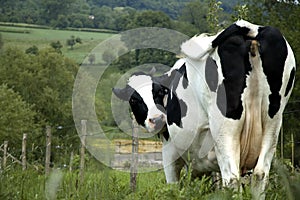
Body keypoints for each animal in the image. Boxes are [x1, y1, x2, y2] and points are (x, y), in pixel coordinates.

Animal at [113, 19, 296, 198]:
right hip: (272, 124)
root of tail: (249, 28)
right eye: (134, 100)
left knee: (232, 178)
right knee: (260, 174)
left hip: (224, 130)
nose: (157, 119)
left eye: (158, 92)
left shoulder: (171, 154)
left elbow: (175, 187)